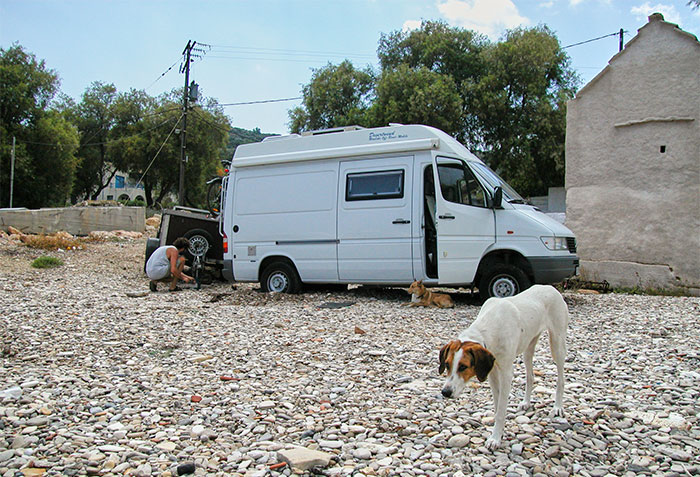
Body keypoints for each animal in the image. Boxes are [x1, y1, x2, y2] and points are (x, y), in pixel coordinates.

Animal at [438, 284, 568, 448]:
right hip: (528, 347)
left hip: (557, 344)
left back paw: (558, 407)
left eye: (463, 367)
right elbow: (497, 405)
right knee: (530, 376)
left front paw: (495, 438)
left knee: (561, 379)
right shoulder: (492, 372)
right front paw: (498, 429)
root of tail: (550, 287)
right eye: (447, 365)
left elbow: (501, 409)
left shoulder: (506, 373)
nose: (445, 392)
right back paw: (526, 402)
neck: (488, 328)